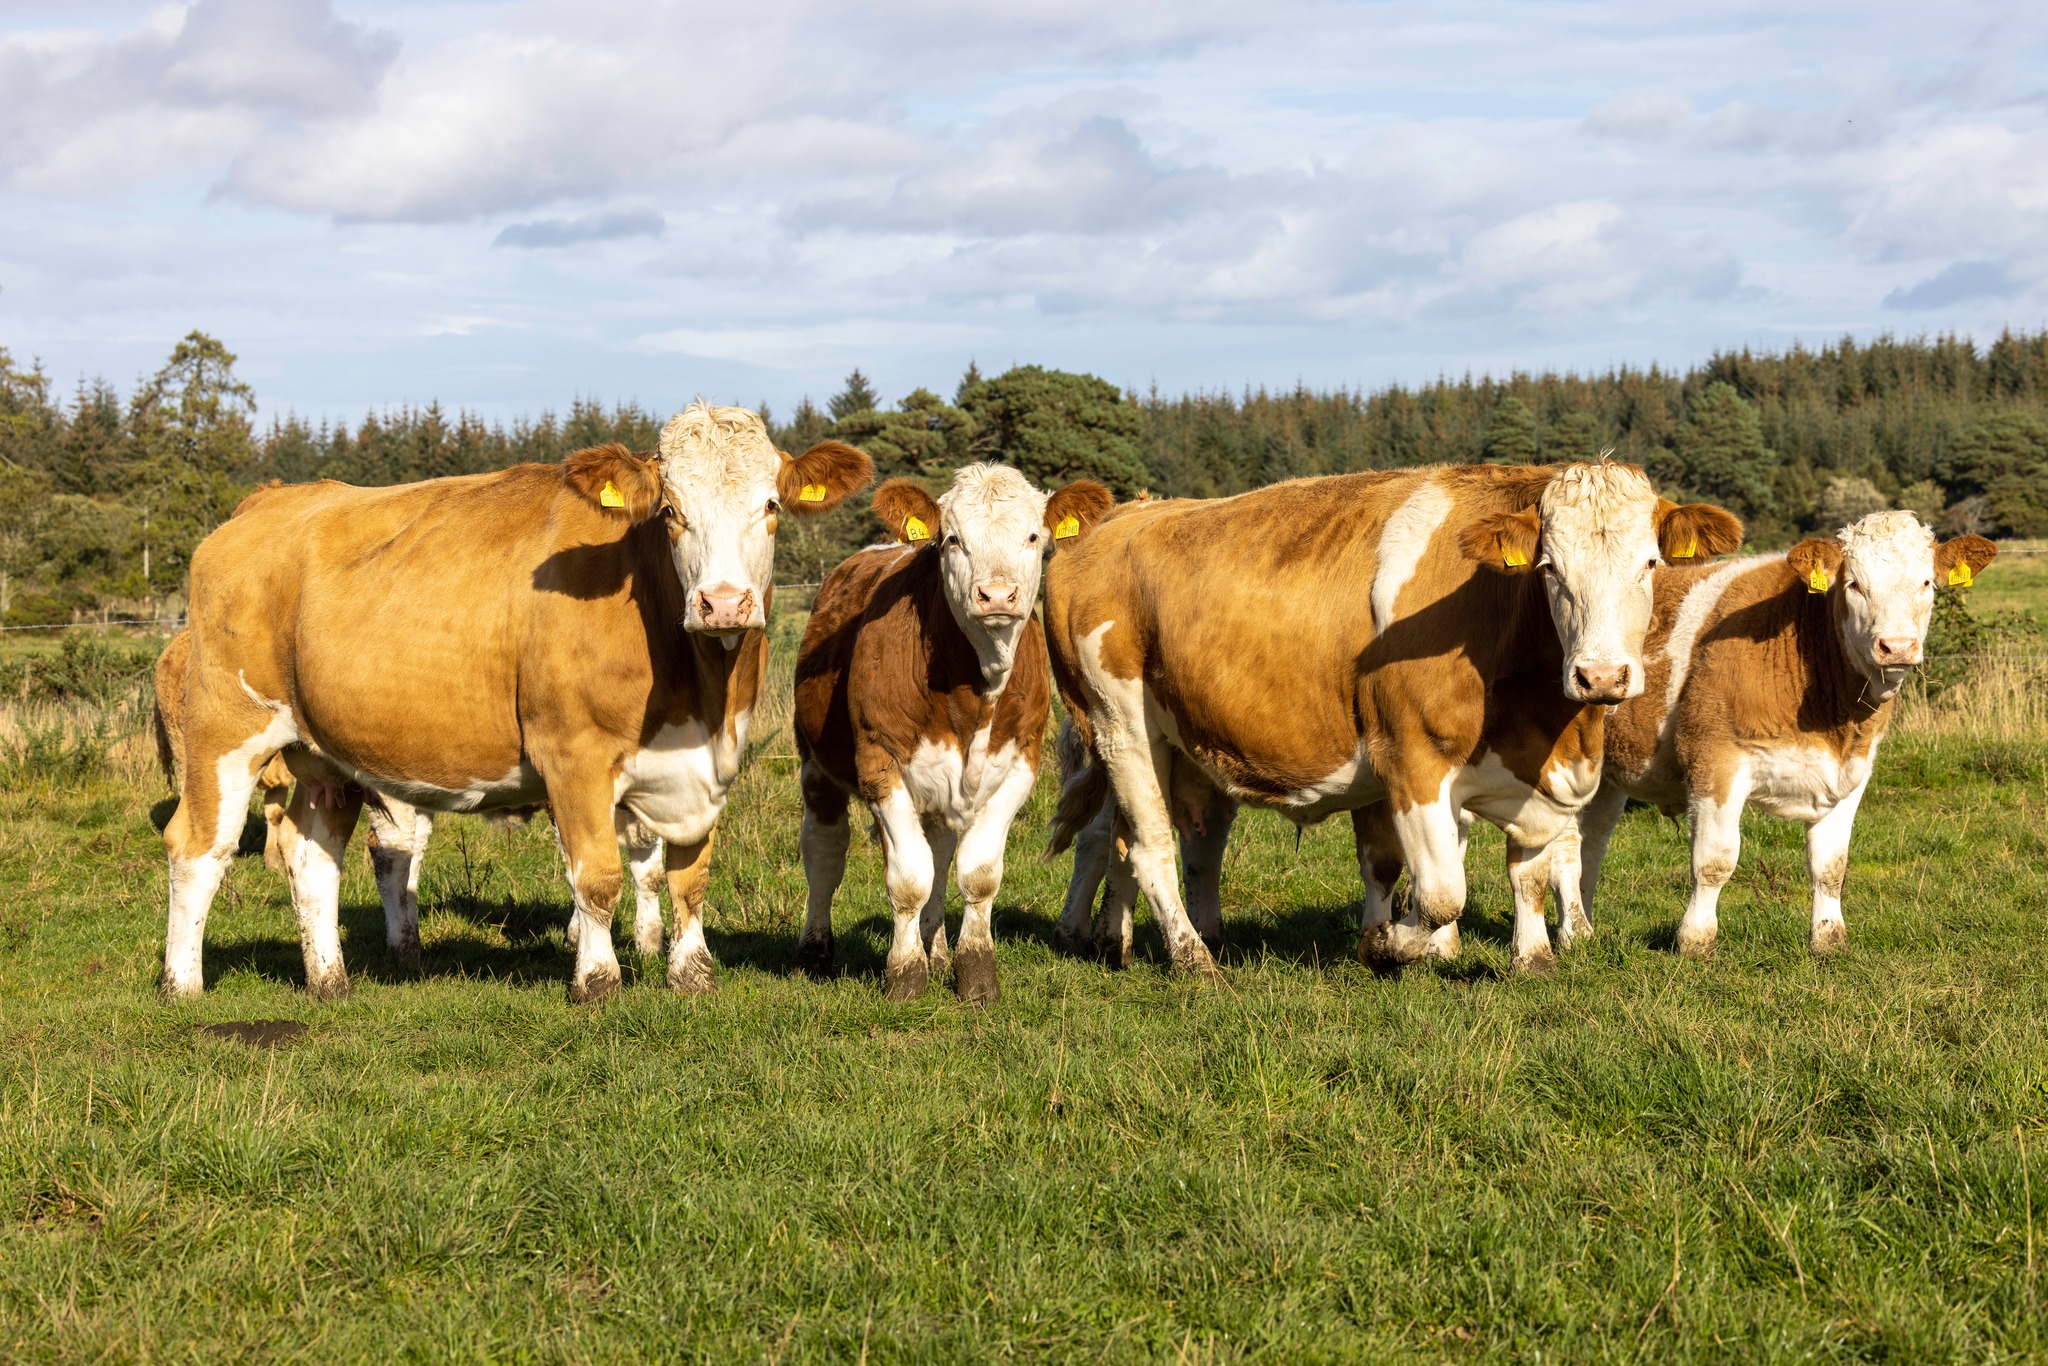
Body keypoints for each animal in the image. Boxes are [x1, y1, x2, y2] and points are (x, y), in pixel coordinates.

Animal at [159, 403, 871, 1002]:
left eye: (771, 504)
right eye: (670, 510)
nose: (723, 603)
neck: (700, 693)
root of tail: (270, 500)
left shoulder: (707, 766)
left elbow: (688, 875)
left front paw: (692, 974)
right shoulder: (573, 756)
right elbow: (597, 877)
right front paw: (597, 980)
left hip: (324, 754)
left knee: (312, 858)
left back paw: (329, 979)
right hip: (225, 731)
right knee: (198, 846)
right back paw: (182, 985)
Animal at [792, 465, 1113, 1002]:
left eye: (1034, 537)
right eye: (952, 539)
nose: (998, 595)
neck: (974, 693)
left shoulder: (1020, 766)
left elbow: (976, 874)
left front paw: (975, 974)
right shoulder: (881, 765)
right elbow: (908, 879)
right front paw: (904, 976)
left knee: (940, 854)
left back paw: (937, 952)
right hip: (815, 763)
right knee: (824, 852)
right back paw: (815, 952)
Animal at [1042, 461, 1742, 977]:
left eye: (1650, 563)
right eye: (1549, 568)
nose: (1600, 677)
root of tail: (1117, 517)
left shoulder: (1538, 772)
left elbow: (1529, 870)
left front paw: (1533, 958)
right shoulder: (1414, 761)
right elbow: (1440, 893)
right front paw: (1391, 944)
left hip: (1176, 740)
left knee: (1149, 837)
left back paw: (1127, 940)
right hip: (1119, 725)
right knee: (1152, 843)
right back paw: (1192, 958)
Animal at [1564, 510, 1997, 956]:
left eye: (1926, 582)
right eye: (1854, 584)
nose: (1896, 646)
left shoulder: (1852, 773)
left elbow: (1831, 865)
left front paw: (1829, 939)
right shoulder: (1713, 759)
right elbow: (1714, 861)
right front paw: (1695, 941)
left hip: (1607, 774)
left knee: (1591, 841)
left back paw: (1583, 926)